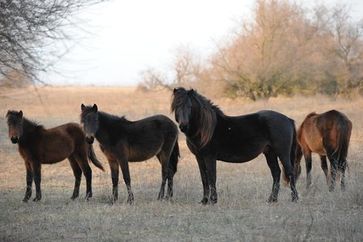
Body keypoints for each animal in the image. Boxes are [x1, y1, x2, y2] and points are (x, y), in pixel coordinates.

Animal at [172, 88, 300, 203]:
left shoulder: (209, 157)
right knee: (276, 173)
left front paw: (213, 200)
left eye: (190, 107)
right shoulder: (199, 157)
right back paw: (272, 199)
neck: (206, 129)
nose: (183, 126)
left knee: (290, 172)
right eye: (176, 107)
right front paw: (204, 200)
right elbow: (204, 178)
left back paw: (294, 199)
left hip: (282, 153)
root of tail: (288, 119)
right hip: (270, 153)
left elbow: (212, 177)